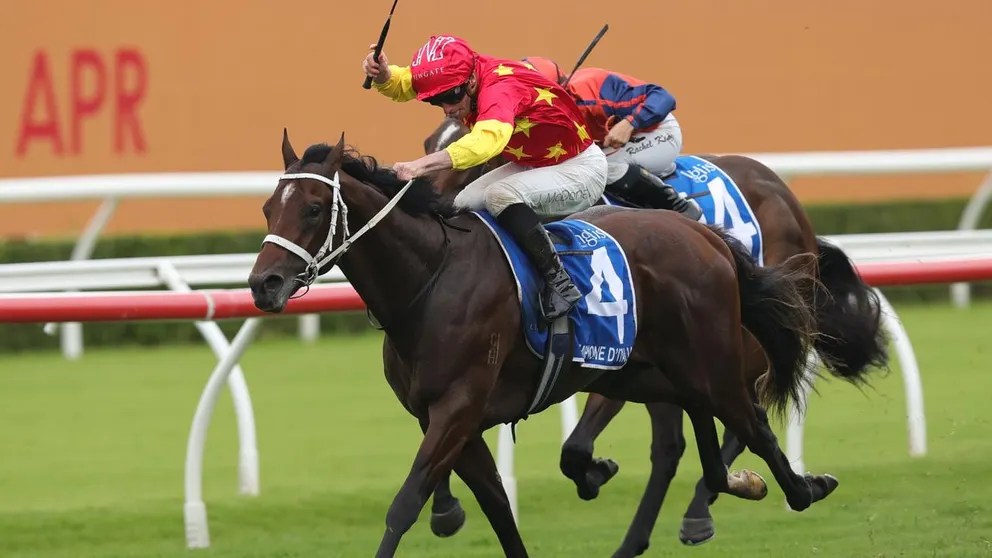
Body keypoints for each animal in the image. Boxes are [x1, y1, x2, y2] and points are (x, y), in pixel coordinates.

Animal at [249, 130, 839, 557]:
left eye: (312, 208)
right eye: (267, 208)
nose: (263, 284)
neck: (431, 278)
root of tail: (702, 232)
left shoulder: (457, 409)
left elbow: (404, 504)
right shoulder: (445, 419)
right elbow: (497, 509)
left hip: (710, 361)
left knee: (754, 422)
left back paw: (801, 488)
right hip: (647, 371)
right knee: (693, 438)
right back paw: (721, 488)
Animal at [422, 117, 888, 556]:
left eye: (473, 156)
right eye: (430, 143)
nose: (429, 202)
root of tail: (783, 192)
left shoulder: (612, 345)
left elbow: (575, 446)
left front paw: (593, 474)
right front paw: (444, 506)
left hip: (731, 340)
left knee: (739, 414)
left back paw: (700, 512)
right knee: (674, 444)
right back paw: (643, 537)